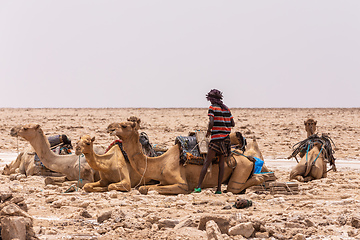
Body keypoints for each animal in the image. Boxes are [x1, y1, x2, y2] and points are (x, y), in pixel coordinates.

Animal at [105, 122, 268, 195]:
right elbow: (144, 187)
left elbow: (145, 188)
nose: (109, 127)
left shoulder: (181, 184)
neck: (160, 162)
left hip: (241, 167)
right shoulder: (163, 181)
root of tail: (248, 157)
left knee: (237, 185)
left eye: (124, 125)